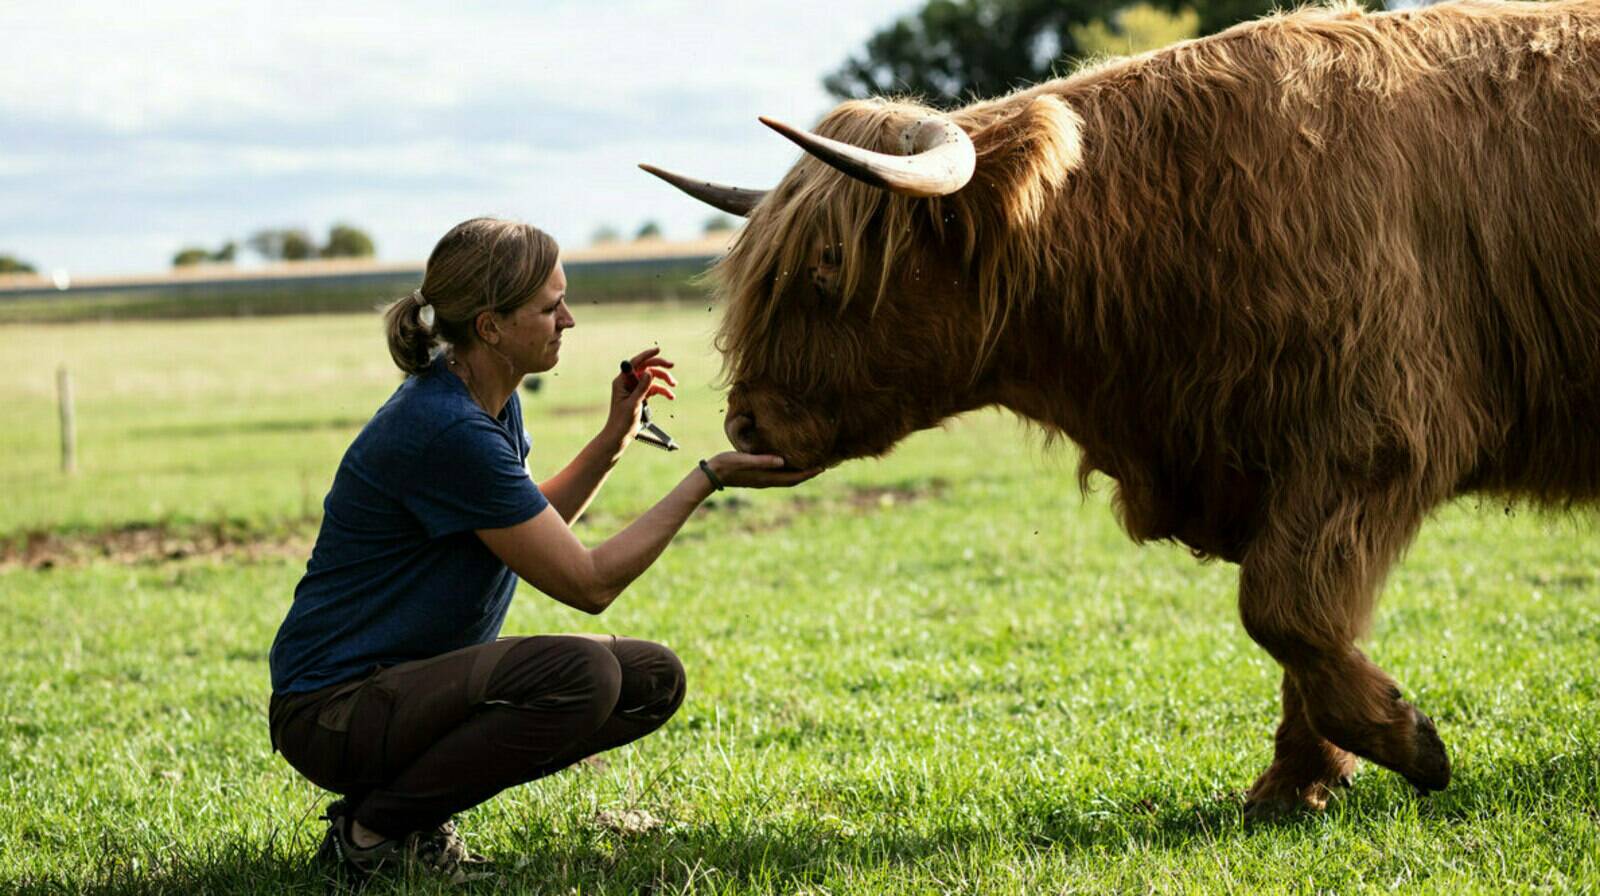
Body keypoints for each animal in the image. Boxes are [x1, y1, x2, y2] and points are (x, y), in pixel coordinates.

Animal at [642, 0, 1600, 816]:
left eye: (828, 270)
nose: (744, 424)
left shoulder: (1375, 434)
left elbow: (1283, 608)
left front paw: (1407, 742)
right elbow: (1306, 626)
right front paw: (1297, 784)